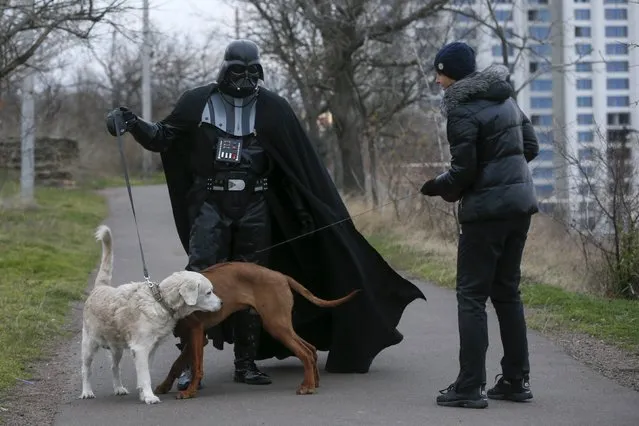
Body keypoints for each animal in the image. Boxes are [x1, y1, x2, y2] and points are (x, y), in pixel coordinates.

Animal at [80, 225, 222, 404]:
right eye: (209, 292)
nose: (222, 303)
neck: (159, 301)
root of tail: (100, 288)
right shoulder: (141, 348)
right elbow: (145, 375)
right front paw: (149, 397)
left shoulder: (152, 348)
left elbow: (145, 373)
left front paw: (143, 394)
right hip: (89, 345)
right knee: (86, 370)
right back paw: (86, 391)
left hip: (116, 348)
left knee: (114, 367)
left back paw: (119, 388)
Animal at [152, 262, 358, 398]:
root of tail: (281, 276)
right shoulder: (195, 337)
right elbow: (177, 364)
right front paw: (164, 386)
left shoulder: (196, 332)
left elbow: (196, 366)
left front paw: (190, 391)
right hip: (282, 324)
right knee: (311, 348)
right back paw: (314, 381)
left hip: (276, 325)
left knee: (305, 352)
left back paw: (307, 386)